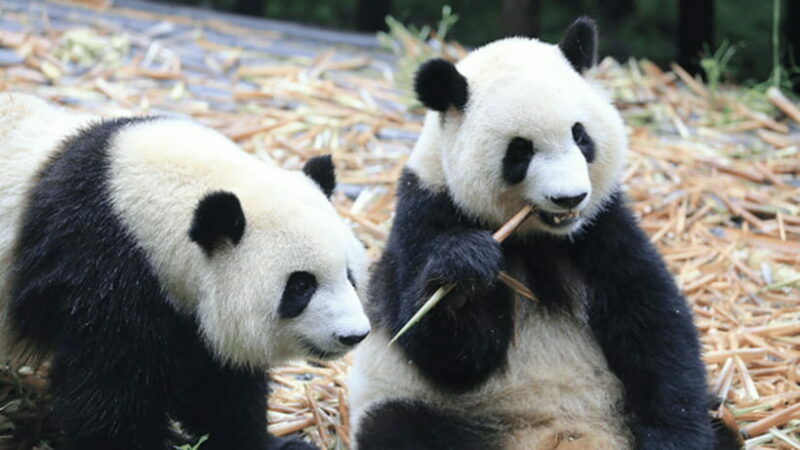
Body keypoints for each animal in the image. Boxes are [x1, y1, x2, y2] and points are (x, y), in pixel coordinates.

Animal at [0, 93, 371, 450]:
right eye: (301, 285)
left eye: (349, 276)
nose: (353, 335)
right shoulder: (103, 269)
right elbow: (107, 391)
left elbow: (218, 387)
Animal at [348, 18, 740, 450]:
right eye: (520, 151)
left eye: (581, 136)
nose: (569, 198)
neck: (536, 238)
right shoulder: (425, 213)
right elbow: (449, 354)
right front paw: (464, 275)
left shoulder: (601, 226)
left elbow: (652, 322)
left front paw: (675, 435)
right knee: (398, 426)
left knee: (720, 422)